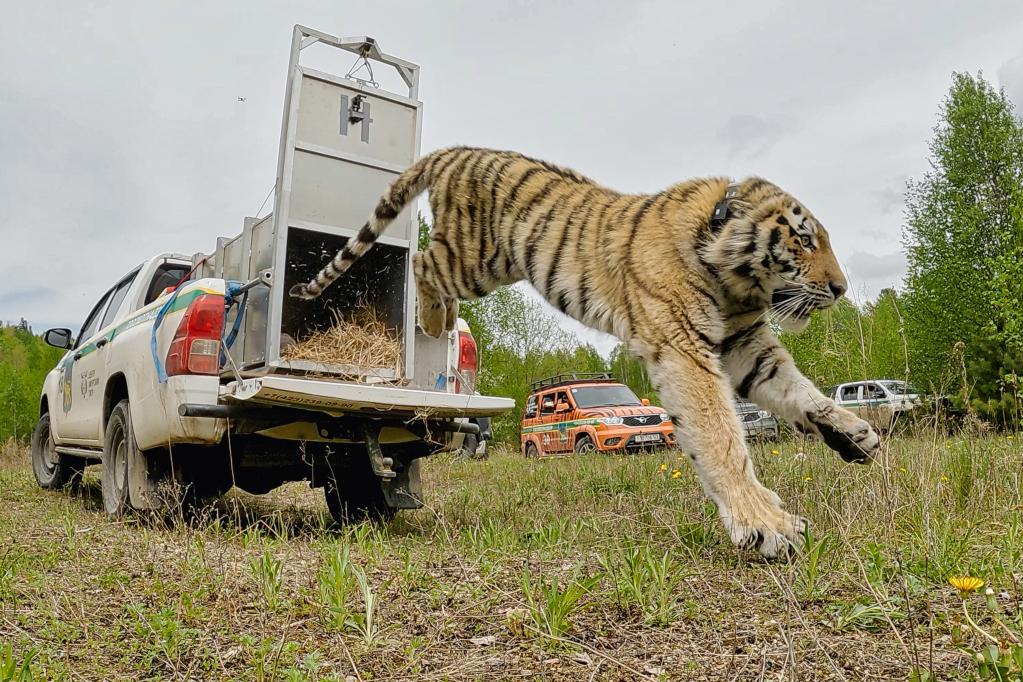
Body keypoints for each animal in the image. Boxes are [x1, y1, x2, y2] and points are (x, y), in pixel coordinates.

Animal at [288, 147, 879, 556]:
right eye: (804, 241)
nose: (842, 289)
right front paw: (765, 525)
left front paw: (855, 433)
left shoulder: (745, 344)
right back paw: (436, 319)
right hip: (476, 256)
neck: (733, 278)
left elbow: (800, 392)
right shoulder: (684, 346)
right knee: (421, 263)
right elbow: (721, 434)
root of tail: (457, 149)